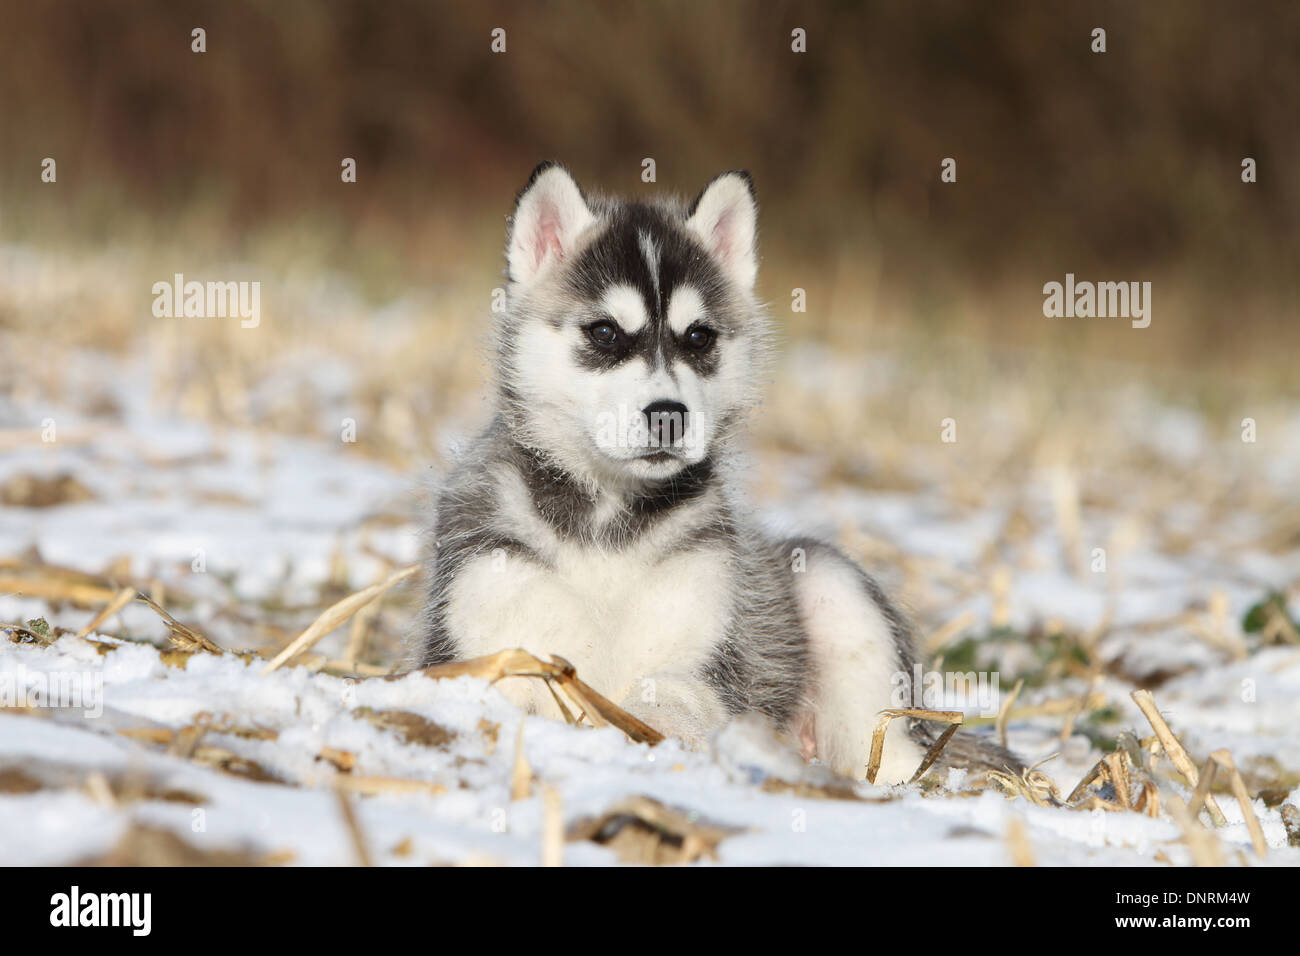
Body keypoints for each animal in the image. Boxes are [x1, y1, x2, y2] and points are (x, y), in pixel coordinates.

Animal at [418, 160, 1024, 780]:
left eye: (698, 336)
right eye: (605, 332)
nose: (668, 416)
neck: (607, 521)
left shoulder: (708, 653)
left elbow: (670, 697)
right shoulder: (484, 632)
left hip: (833, 586)